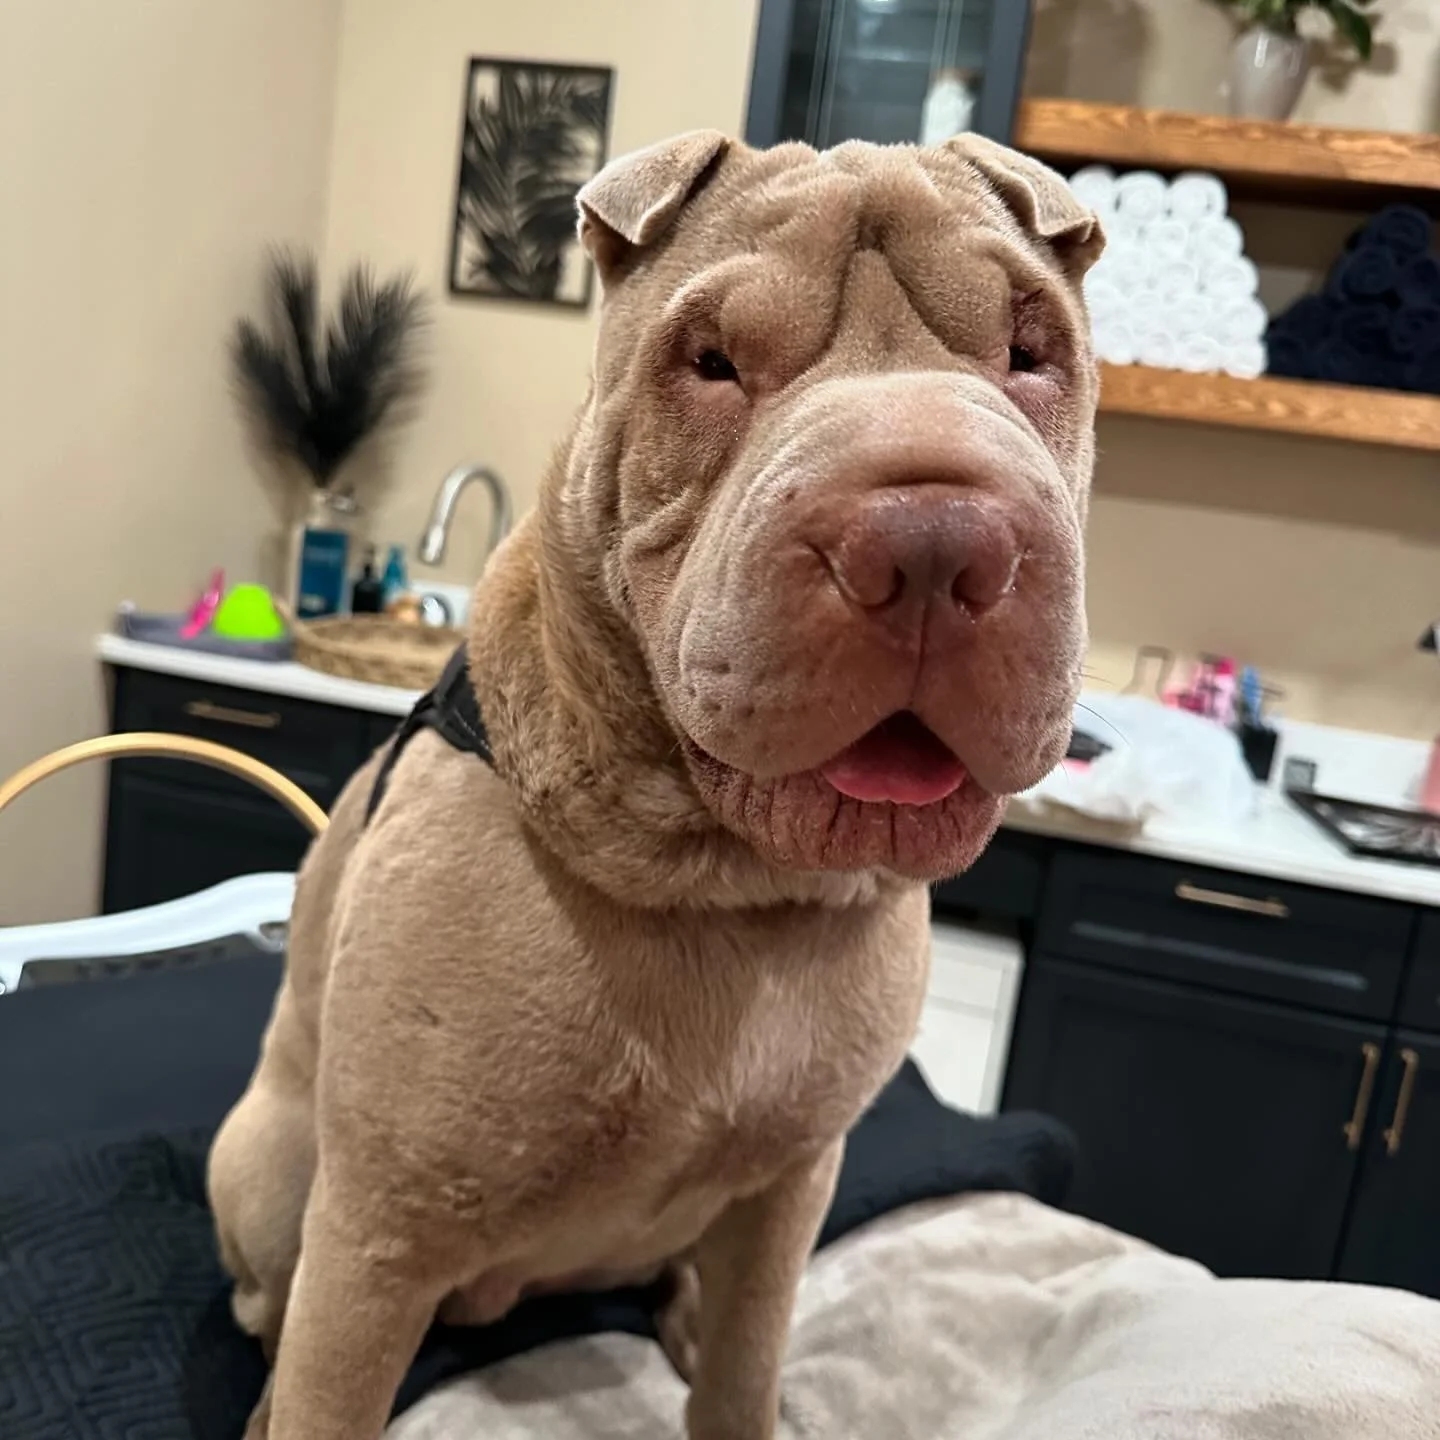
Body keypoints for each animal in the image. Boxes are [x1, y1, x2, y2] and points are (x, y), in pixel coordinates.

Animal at [208, 127, 1102, 1440]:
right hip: (274, 1170)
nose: (937, 542)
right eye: (712, 361)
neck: (727, 886)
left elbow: (743, 1367)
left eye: (1031, 351)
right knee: (269, 1300)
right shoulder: (378, 1235)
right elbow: (329, 1390)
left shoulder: (789, 1194)